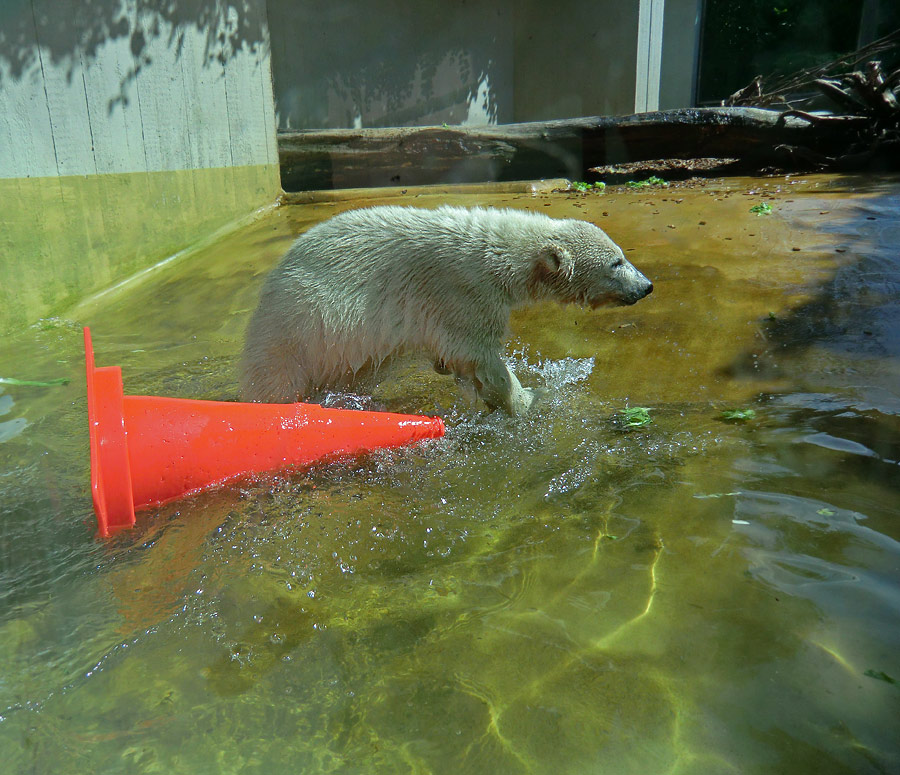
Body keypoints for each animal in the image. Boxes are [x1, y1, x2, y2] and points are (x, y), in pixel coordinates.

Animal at [243, 203, 652, 416]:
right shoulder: (463, 294)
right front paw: (525, 399)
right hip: (297, 330)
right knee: (276, 380)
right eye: (616, 262)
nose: (646, 286)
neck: (499, 255)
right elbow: (477, 353)